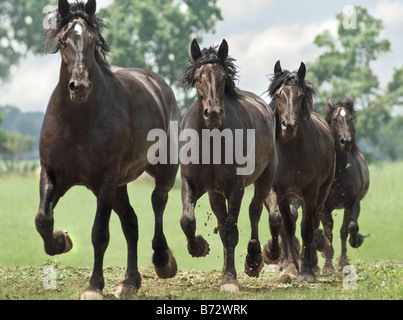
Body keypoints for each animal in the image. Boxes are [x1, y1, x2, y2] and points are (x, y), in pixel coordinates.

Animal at [36, 0, 178, 300]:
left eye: (93, 41)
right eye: (64, 40)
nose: (79, 87)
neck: (77, 121)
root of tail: (157, 83)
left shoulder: (104, 180)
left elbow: (99, 234)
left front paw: (93, 286)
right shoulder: (52, 173)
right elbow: (43, 219)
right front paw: (61, 240)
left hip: (162, 170)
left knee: (158, 202)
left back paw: (163, 260)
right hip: (120, 185)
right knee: (131, 223)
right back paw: (130, 282)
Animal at [180, 38, 278, 292]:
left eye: (224, 78)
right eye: (198, 78)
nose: (213, 114)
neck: (211, 141)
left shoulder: (236, 187)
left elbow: (232, 230)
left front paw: (231, 280)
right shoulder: (190, 183)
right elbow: (188, 220)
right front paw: (199, 247)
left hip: (265, 177)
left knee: (254, 212)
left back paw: (253, 260)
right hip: (215, 193)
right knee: (222, 223)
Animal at [264, 61, 336, 282]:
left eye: (300, 96)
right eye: (279, 94)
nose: (289, 126)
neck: (292, 152)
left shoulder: (310, 192)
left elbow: (306, 229)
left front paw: (305, 271)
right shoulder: (279, 192)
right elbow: (285, 225)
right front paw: (289, 267)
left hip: (321, 193)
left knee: (313, 222)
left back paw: (311, 263)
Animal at [322, 97, 372, 272]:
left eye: (350, 119)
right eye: (335, 119)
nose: (346, 142)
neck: (340, 171)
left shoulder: (352, 202)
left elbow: (350, 227)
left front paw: (354, 243)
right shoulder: (325, 207)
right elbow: (328, 232)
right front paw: (327, 266)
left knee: (344, 230)